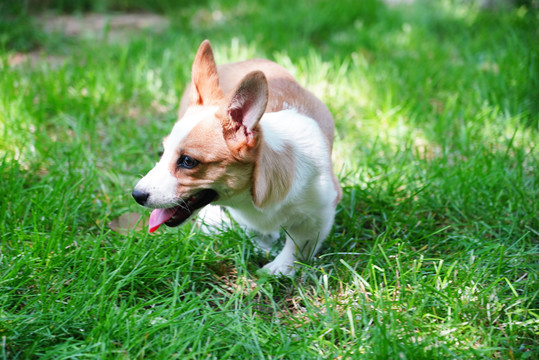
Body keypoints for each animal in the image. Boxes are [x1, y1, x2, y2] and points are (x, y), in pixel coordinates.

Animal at [132, 40, 342, 276]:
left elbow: (298, 244)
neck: (253, 198)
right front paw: (263, 248)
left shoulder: (319, 213)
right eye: (163, 152)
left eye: (188, 161)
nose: (136, 195)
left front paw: (278, 268)